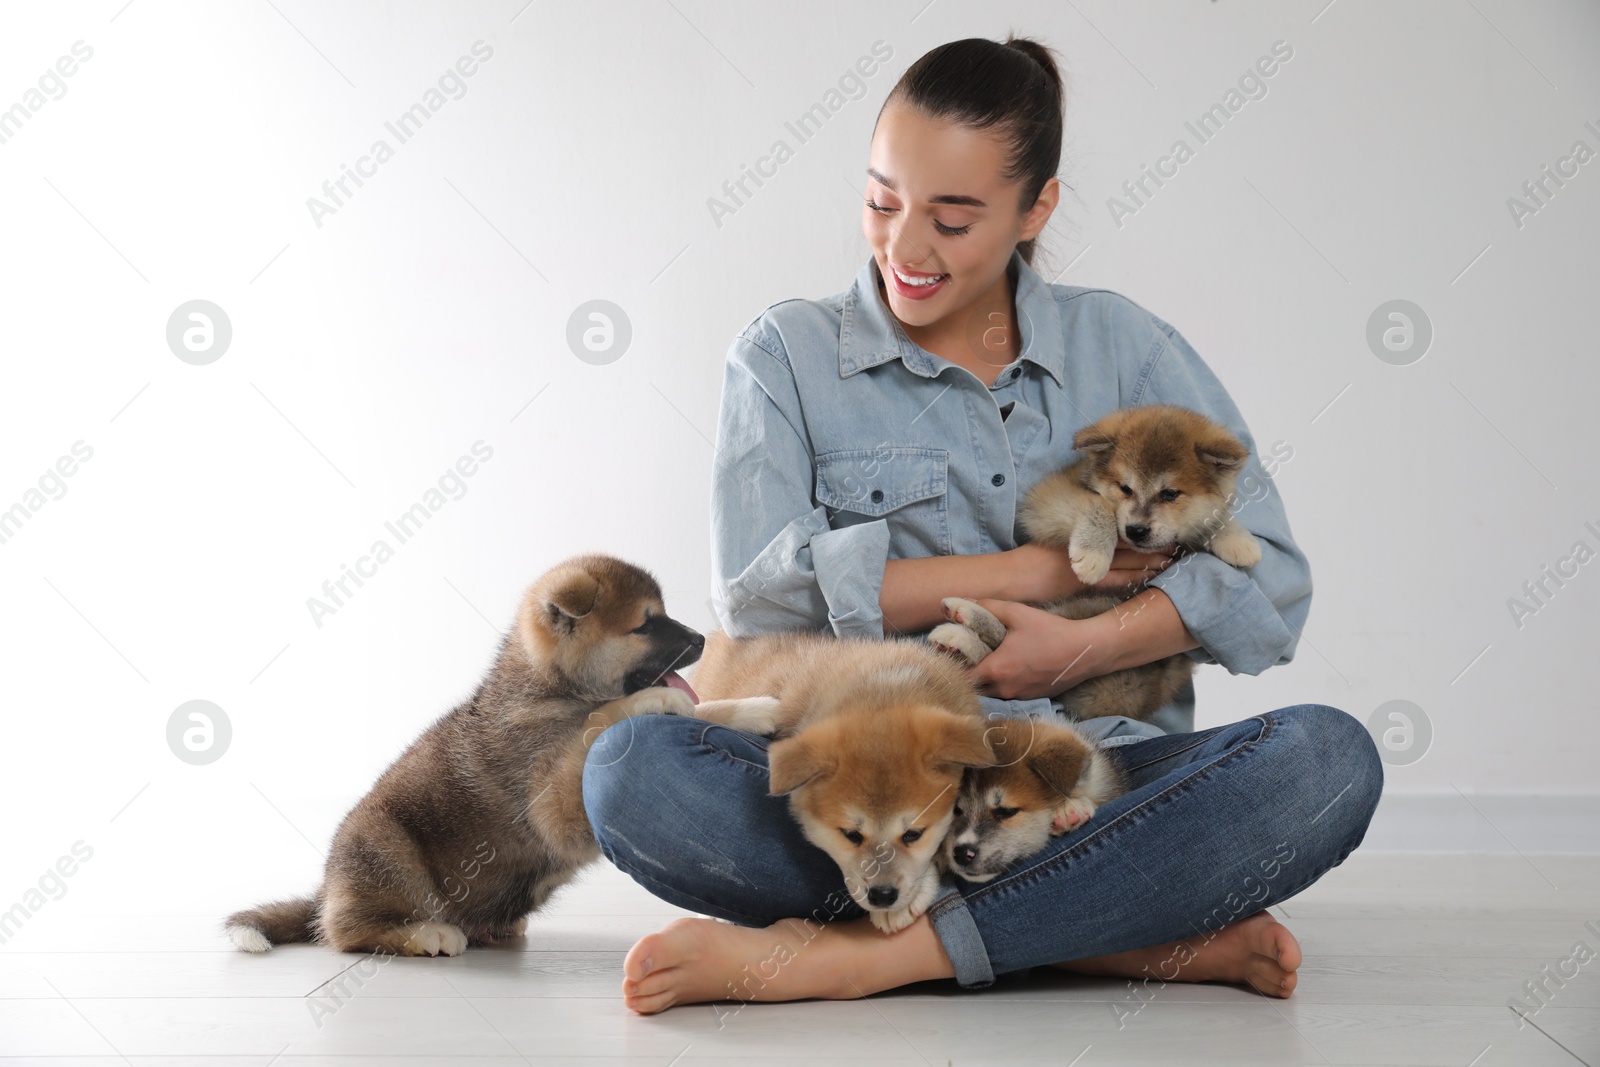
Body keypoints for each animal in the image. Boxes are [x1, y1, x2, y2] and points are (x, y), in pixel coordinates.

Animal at [227, 556, 774, 953]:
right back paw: (427, 934)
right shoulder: (552, 800)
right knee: (347, 933)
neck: (551, 688)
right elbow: (600, 721)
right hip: (388, 849)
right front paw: (652, 700)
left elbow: (704, 710)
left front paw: (754, 708)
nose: (700, 638)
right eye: (645, 625)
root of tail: (326, 893)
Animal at [928, 404, 1260, 723]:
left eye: (1169, 494)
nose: (1136, 530)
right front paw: (1094, 555)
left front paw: (1236, 540)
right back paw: (962, 622)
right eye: (1125, 488)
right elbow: (1097, 504)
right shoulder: (1050, 502)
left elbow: (1214, 517)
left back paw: (961, 635)